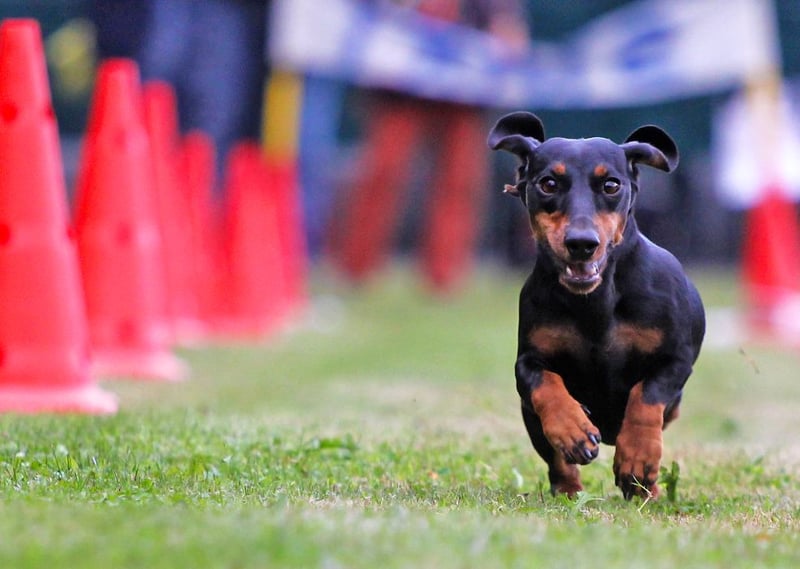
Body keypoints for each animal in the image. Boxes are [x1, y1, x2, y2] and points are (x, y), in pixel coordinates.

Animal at [487, 112, 705, 500]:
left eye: (611, 185)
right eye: (548, 183)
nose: (581, 243)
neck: (595, 302)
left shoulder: (677, 360)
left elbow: (646, 394)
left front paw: (637, 458)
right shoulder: (528, 361)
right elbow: (543, 382)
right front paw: (572, 428)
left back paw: (648, 489)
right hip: (531, 420)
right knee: (556, 461)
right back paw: (569, 489)